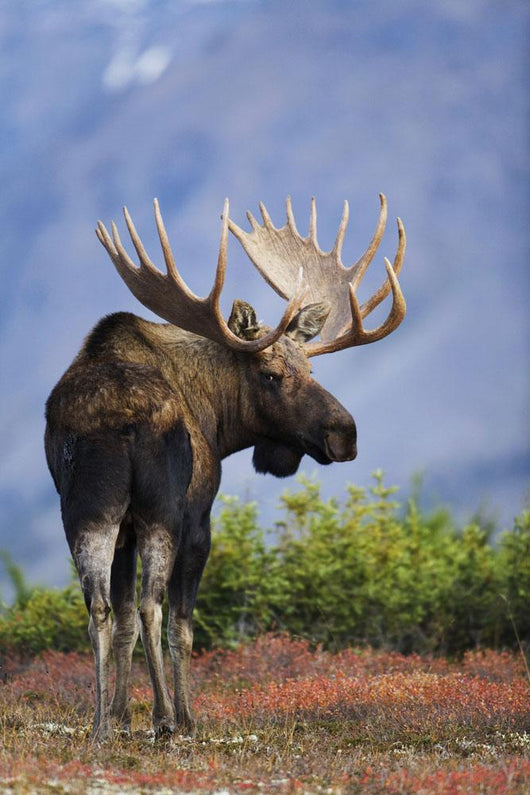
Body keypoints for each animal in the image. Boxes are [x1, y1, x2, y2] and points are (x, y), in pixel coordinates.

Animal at [44, 193, 405, 741]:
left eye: (311, 368)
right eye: (272, 374)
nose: (345, 433)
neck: (218, 419)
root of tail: (118, 419)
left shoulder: (123, 529)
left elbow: (123, 619)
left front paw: (120, 715)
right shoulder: (198, 516)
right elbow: (182, 625)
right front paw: (178, 717)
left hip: (88, 511)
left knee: (100, 608)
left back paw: (100, 727)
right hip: (162, 512)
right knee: (154, 608)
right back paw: (168, 720)